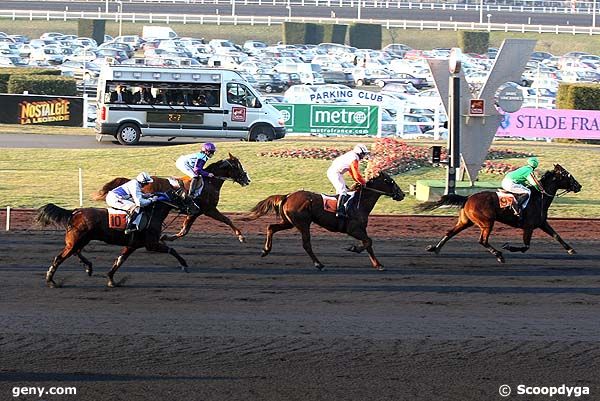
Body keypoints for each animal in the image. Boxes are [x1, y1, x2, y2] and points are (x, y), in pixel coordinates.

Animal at [37, 179, 199, 288]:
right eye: (185, 198)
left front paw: (111, 279)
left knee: (76, 252)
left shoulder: (132, 245)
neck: (152, 214)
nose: (196, 209)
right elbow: (172, 250)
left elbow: (120, 260)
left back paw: (88, 267)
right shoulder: (151, 244)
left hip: (81, 240)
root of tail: (75, 212)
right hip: (77, 240)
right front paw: (184, 265)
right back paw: (51, 281)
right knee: (60, 258)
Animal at [95, 152, 250, 241]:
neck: (210, 182)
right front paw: (241, 236)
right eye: (238, 166)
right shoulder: (209, 209)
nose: (247, 179)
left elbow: (184, 230)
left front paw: (168, 237)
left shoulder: (195, 212)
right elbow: (226, 219)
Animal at [246, 170, 406, 270]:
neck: (359, 203)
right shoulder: (353, 229)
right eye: (390, 181)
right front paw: (354, 248)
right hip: (303, 223)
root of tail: (287, 196)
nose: (402, 194)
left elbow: (369, 243)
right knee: (306, 244)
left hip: (289, 222)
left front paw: (378, 264)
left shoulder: (361, 228)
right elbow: (368, 242)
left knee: (271, 227)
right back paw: (319, 264)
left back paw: (266, 250)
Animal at [418, 163, 580, 262]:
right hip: (487, 222)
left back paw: (435, 248)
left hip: (466, 221)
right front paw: (508, 247)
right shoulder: (528, 227)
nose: (579, 186)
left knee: (450, 232)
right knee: (482, 240)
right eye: (568, 175)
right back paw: (499, 255)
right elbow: (526, 247)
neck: (539, 197)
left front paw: (571, 249)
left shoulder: (541, 223)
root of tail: (468, 198)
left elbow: (556, 235)